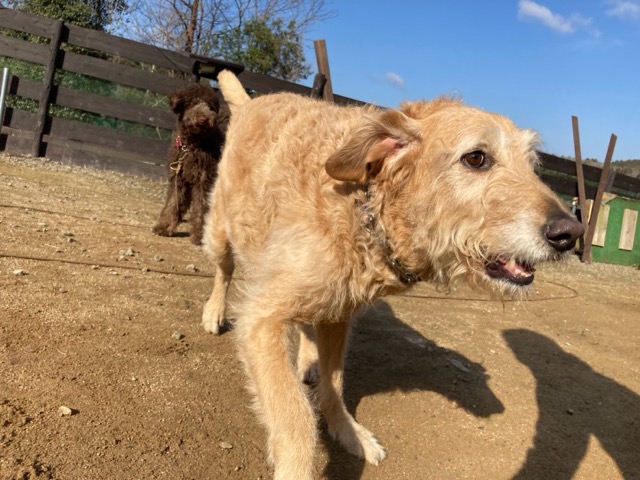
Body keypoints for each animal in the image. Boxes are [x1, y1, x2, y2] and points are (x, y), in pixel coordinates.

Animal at [152, 83, 228, 245]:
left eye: (210, 106)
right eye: (193, 103)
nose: (203, 119)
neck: (192, 145)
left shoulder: (204, 180)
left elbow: (201, 207)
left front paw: (200, 234)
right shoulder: (178, 178)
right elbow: (173, 201)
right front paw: (164, 226)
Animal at [201, 70, 584, 479]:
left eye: (531, 163)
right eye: (476, 158)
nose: (570, 233)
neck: (366, 205)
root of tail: (251, 101)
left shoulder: (339, 314)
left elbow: (335, 385)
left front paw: (348, 432)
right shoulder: (261, 319)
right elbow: (295, 416)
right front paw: (298, 466)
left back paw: (307, 360)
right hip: (221, 232)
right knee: (224, 271)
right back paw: (215, 313)